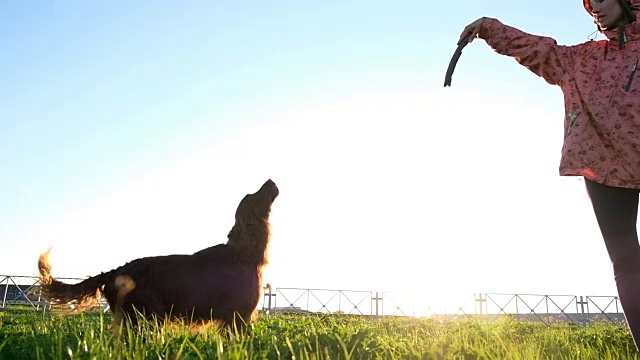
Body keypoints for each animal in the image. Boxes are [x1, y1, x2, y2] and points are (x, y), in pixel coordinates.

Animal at [37, 179, 278, 334]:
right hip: (147, 319)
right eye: (254, 195)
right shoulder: (239, 318)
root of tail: (115, 272)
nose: (270, 180)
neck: (243, 252)